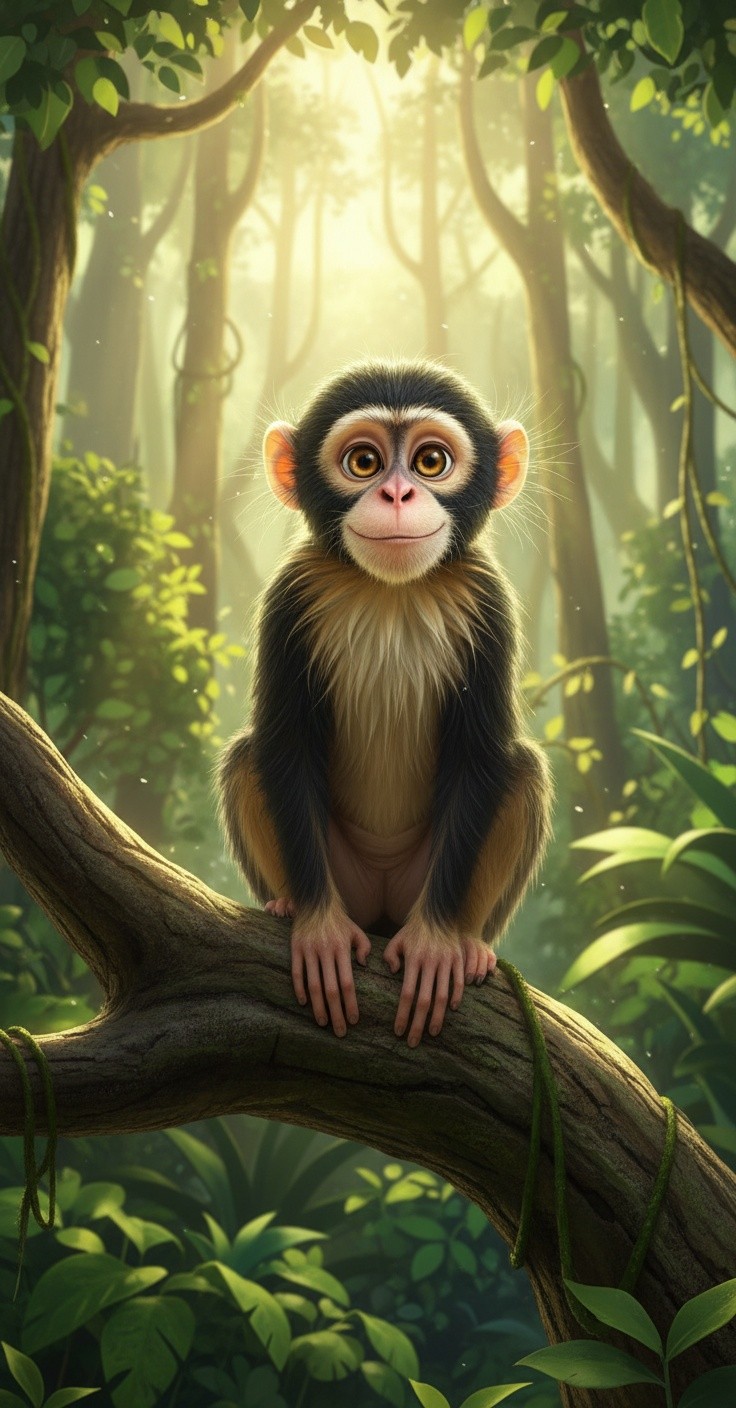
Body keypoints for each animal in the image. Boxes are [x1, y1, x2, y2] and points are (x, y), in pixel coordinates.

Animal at [219, 359, 552, 1047]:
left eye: (430, 461)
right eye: (365, 462)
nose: (397, 495)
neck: (392, 594)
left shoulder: (488, 600)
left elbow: (482, 758)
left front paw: (436, 943)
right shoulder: (291, 594)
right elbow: (284, 745)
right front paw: (317, 927)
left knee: (523, 770)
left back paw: (468, 943)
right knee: (245, 758)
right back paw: (287, 904)